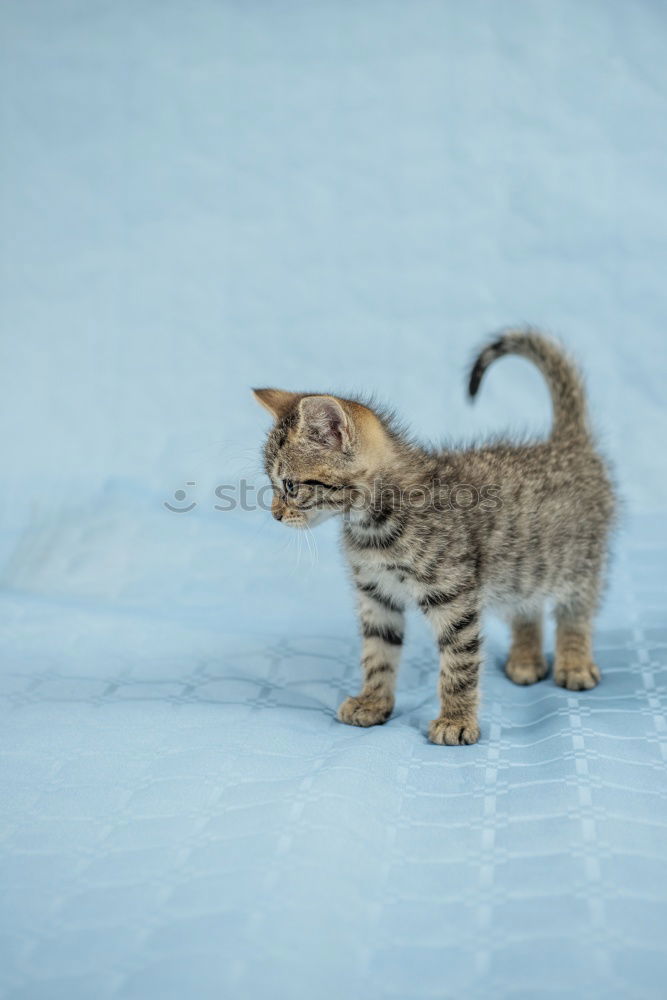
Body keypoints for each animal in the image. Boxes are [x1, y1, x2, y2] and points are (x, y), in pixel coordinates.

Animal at [254, 328, 616, 744]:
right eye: (274, 485)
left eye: (290, 486)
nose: (275, 514)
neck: (373, 526)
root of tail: (566, 444)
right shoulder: (376, 595)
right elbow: (377, 652)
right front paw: (373, 702)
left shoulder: (454, 597)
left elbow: (459, 663)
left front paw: (456, 720)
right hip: (519, 567)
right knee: (526, 605)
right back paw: (526, 660)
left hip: (578, 559)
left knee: (576, 609)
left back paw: (573, 662)